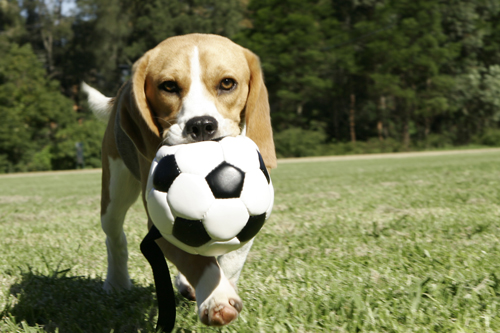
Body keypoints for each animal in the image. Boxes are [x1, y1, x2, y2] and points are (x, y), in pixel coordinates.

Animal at [82, 33, 278, 324]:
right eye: (169, 86)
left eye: (227, 83)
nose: (201, 125)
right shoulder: (161, 223)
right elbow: (195, 259)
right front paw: (217, 298)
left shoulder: (254, 212)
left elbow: (234, 253)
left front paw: (222, 284)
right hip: (115, 190)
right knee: (115, 236)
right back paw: (116, 282)